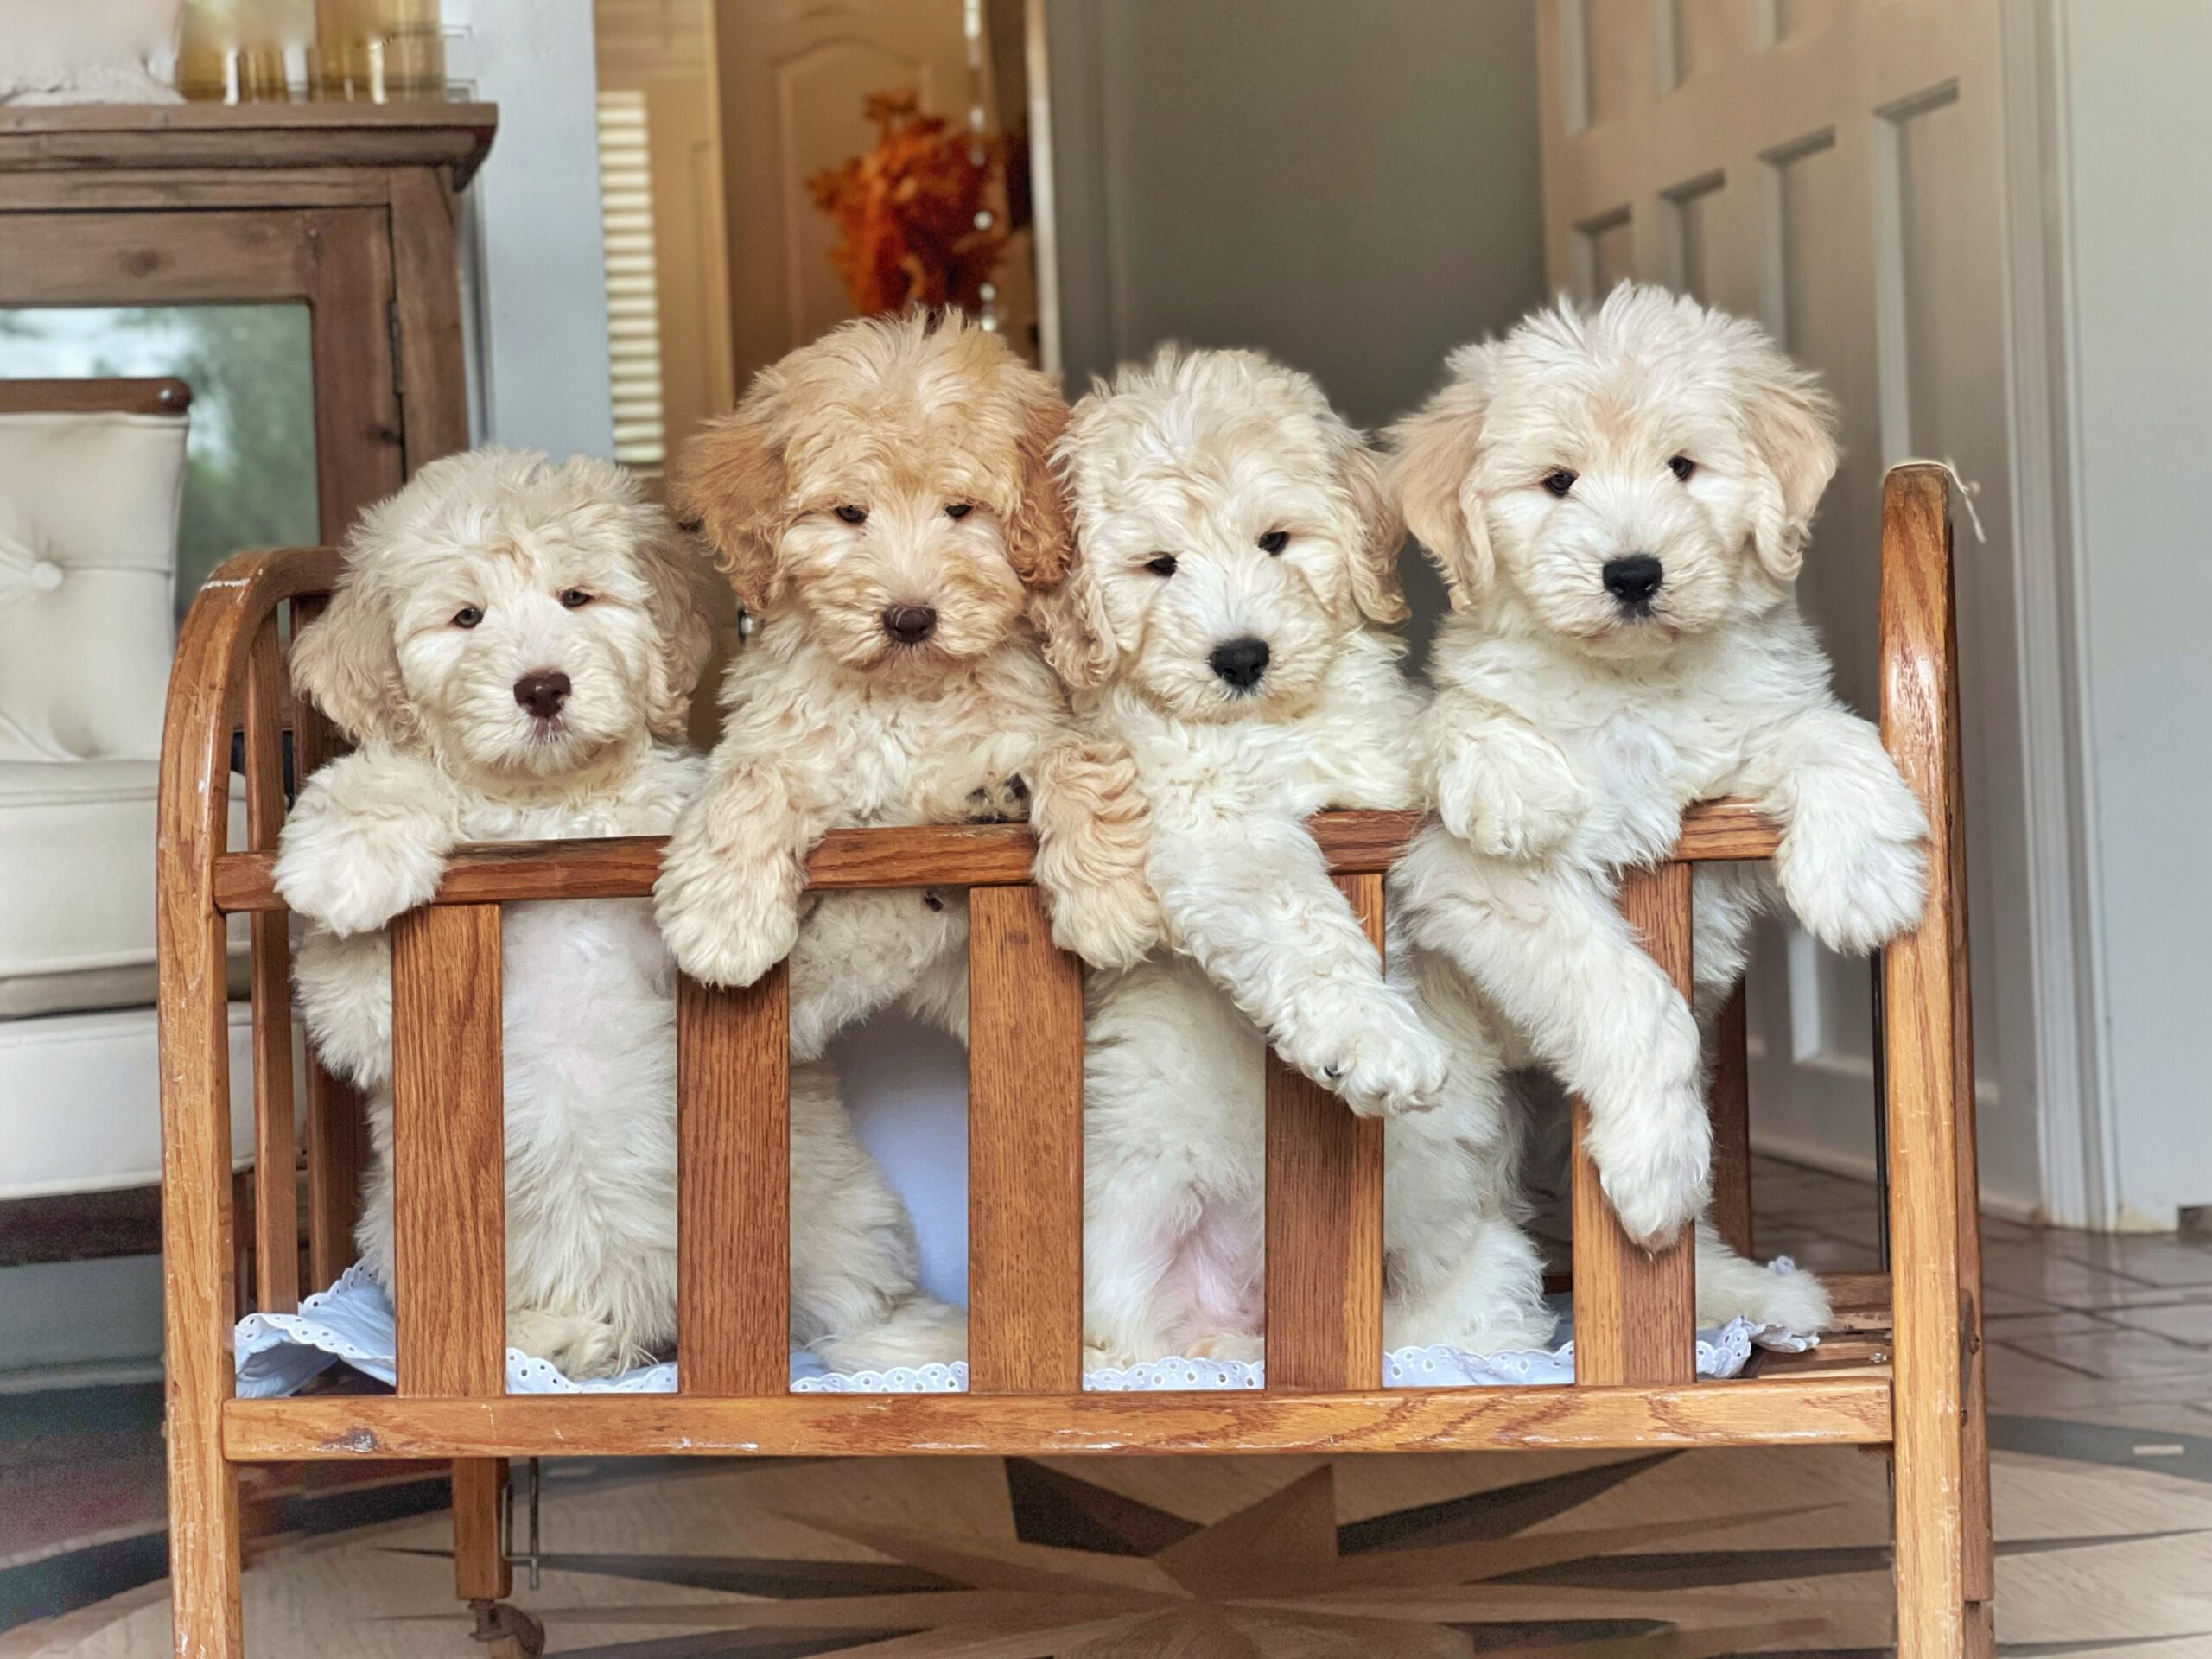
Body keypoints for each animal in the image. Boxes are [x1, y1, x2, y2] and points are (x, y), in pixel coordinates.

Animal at [276, 448, 960, 1380]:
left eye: (577, 598)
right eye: (466, 617)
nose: (542, 688)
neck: (553, 809)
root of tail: (646, 1326)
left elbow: (809, 954)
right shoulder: (382, 1025)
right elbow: (353, 929)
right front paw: (346, 854)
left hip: (831, 1198)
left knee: (848, 1301)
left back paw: (908, 1342)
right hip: (398, 1229)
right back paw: (561, 1336)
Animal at [645, 311, 1150, 1065]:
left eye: (961, 509)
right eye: (850, 513)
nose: (910, 619)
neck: (902, 692)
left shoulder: (1037, 718)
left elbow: (1072, 757)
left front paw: (1107, 901)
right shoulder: (786, 739)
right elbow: (752, 781)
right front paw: (722, 920)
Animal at [1039, 345, 1548, 1371]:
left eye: (1276, 541)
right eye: (1159, 566)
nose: (1241, 657)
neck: (1277, 730)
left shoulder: (1379, 760)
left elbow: (1433, 743)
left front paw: (1502, 770)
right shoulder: (1215, 834)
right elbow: (1302, 928)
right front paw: (1375, 1039)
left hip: (1480, 1268)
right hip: (1121, 1291)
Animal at [1389, 279, 1929, 1336]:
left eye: (1683, 467)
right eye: (1558, 482)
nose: (1634, 573)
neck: (1630, 687)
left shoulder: (1728, 794)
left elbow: (1822, 733)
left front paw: (1862, 874)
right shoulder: (1469, 880)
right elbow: (1627, 994)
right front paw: (1653, 1168)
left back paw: (1739, 1294)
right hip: (1450, 1117)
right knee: (1449, 1236)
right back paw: (1473, 1327)